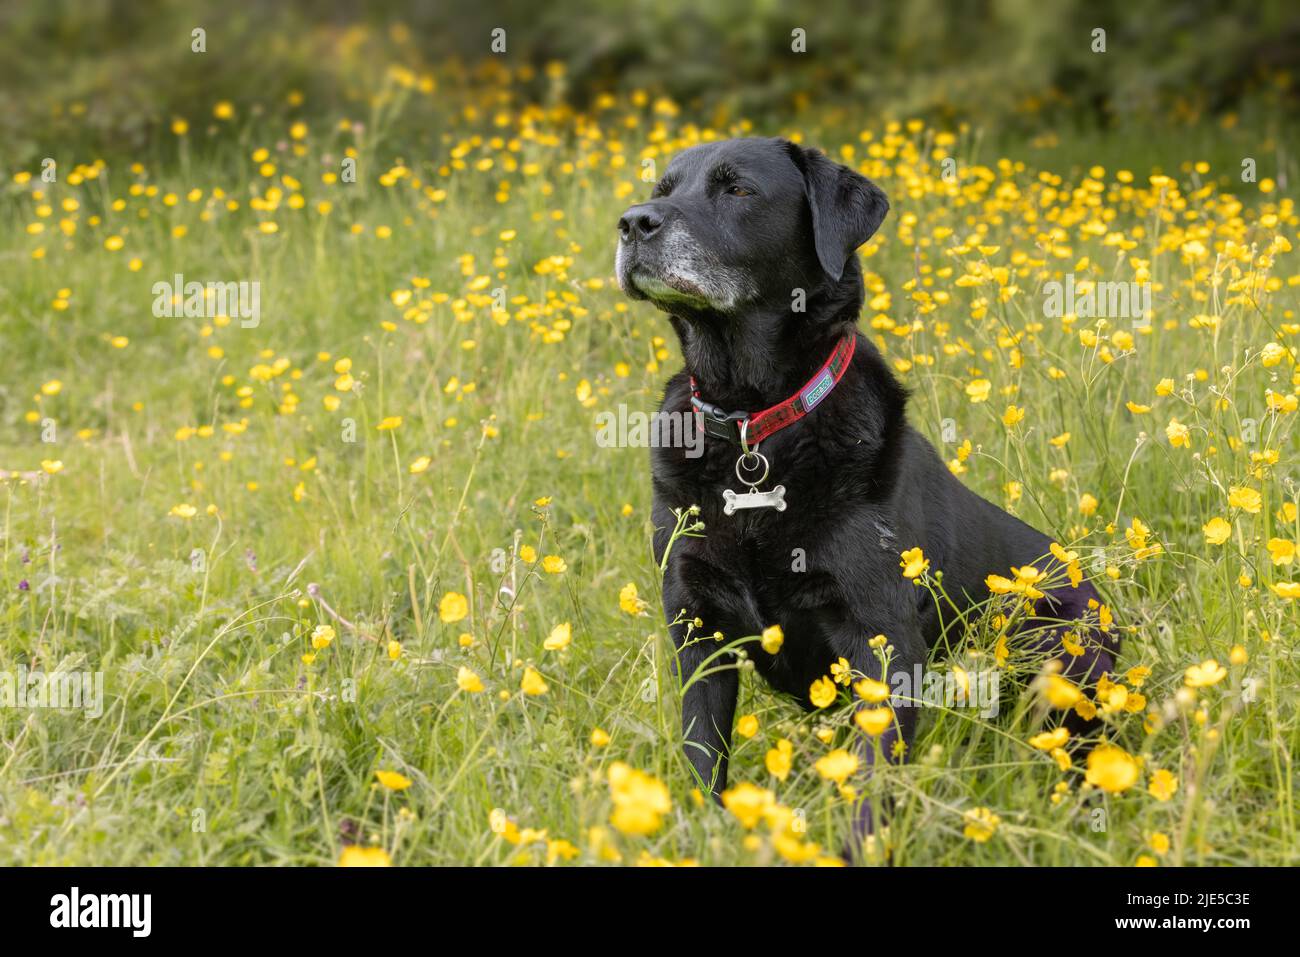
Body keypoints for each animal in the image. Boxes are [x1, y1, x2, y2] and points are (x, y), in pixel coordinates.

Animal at [616, 138, 1118, 826]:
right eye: (662, 190)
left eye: (738, 189)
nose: (633, 222)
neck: (754, 426)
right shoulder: (696, 626)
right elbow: (702, 757)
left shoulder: (880, 639)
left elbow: (870, 784)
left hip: (1066, 661)